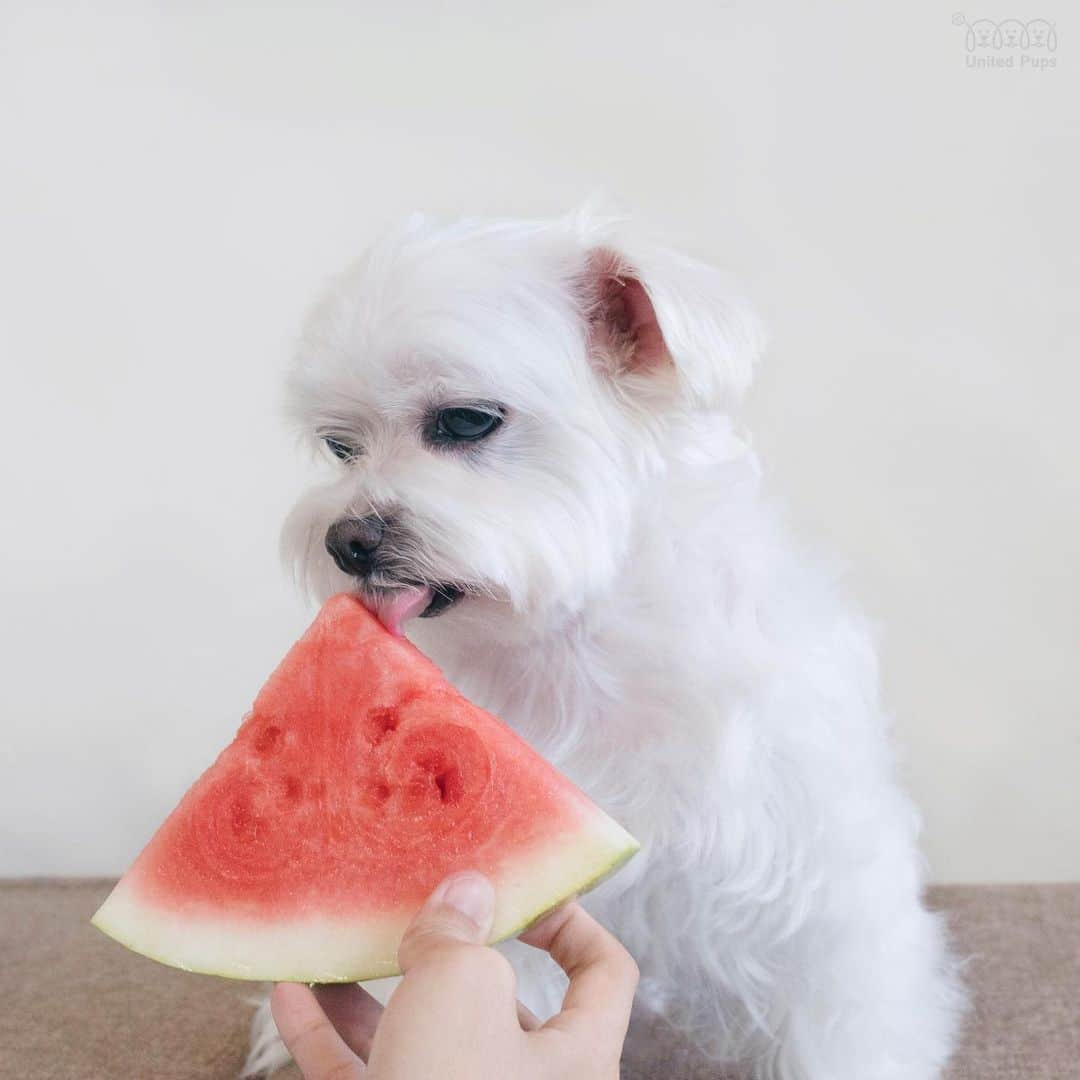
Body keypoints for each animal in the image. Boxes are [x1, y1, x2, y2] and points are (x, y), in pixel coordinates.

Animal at [245, 206, 963, 1075]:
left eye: (465, 421)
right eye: (338, 445)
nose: (347, 540)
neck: (574, 650)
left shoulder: (821, 894)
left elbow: (845, 1023)